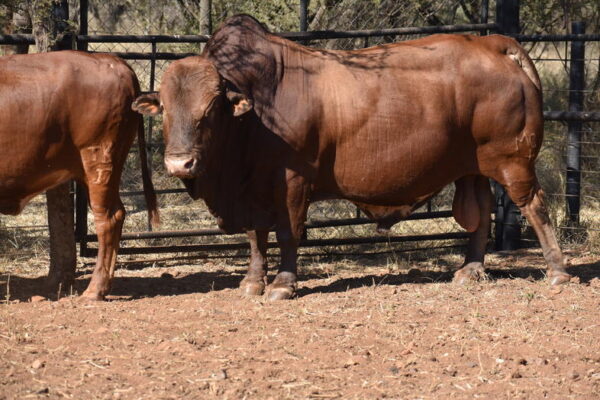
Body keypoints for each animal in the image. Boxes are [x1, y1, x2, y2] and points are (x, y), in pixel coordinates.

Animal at [0, 50, 159, 300]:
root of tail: (114, 62)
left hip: (99, 158)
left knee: (108, 219)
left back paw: (94, 290)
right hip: (94, 169)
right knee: (118, 213)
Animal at [134, 15, 568, 300]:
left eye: (209, 109)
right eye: (166, 110)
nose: (179, 164)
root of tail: (492, 43)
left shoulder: (292, 181)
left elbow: (288, 232)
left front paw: (283, 284)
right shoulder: (252, 188)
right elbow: (256, 236)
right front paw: (253, 281)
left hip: (512, 161)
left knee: (535, 205)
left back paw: (558, 270)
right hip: (472, 167)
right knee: (480, 212)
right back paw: (471, 270)